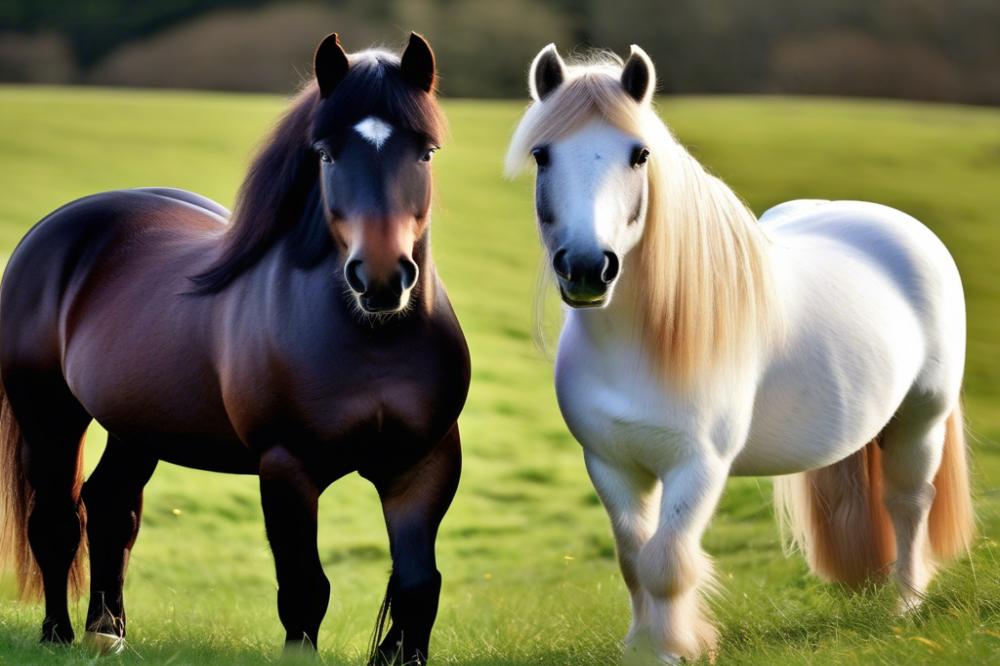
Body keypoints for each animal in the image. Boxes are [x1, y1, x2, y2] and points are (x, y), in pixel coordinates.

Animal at [0, 32, 468, 664]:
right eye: (326, 155)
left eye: (426, 153)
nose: (380, 279)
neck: (375, 347)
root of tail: (50, 230)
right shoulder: (287, 466)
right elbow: (304, 588)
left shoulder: (423, 463)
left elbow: (418, 587)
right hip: (49, 415)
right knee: (54, 521)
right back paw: (58, 634)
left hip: (136, 424)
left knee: (110, 506)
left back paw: (108, 631)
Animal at [504, 44, 972, 660]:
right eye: (542, 154)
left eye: (639, 154)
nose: (586, 267)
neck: (642, 344)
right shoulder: (611, 464)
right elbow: (633, 558)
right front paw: (641, 646)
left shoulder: (699, 466)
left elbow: (666, 562)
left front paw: (673, 649)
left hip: (922, 418)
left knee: (909, 502)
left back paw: (905, 606)